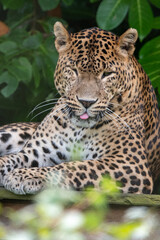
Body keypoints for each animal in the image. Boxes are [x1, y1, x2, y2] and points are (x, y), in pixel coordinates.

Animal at [0, 21, 160, 195]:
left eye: (107, 74)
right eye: (73, 70)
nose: (86, 102)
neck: (79, 128)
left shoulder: (130, 162)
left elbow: (74, 167)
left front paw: (24, 175)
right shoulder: (36, 151)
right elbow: (10, 158)